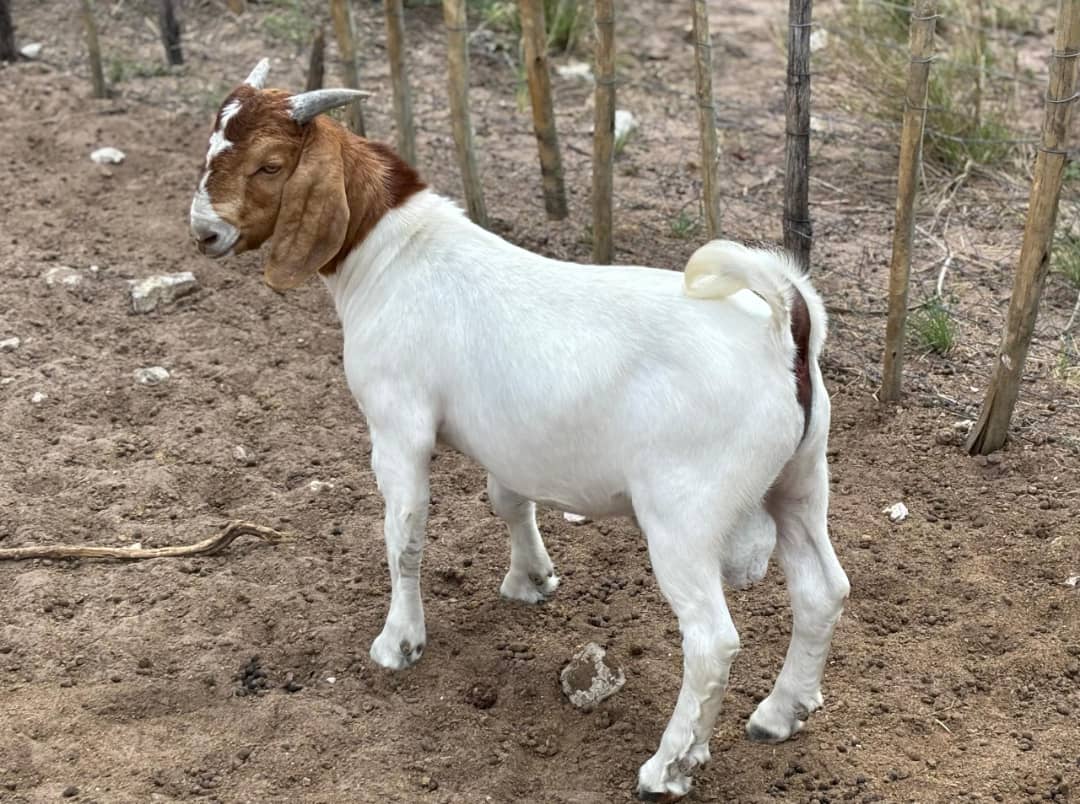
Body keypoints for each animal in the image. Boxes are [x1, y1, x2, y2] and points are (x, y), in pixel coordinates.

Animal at [189, 60, 850, 802]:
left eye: (271, 164)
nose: (204, 233)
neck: (392, 255)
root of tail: (786, 325)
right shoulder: (508, 439)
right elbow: (507, 499)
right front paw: (531, 579)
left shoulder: (397, 423)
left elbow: (404, 535)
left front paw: (399, 643)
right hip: (801, 478)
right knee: (822, 592)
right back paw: (780, 713)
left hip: (685, 512)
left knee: (711, 640)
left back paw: (668, 766)